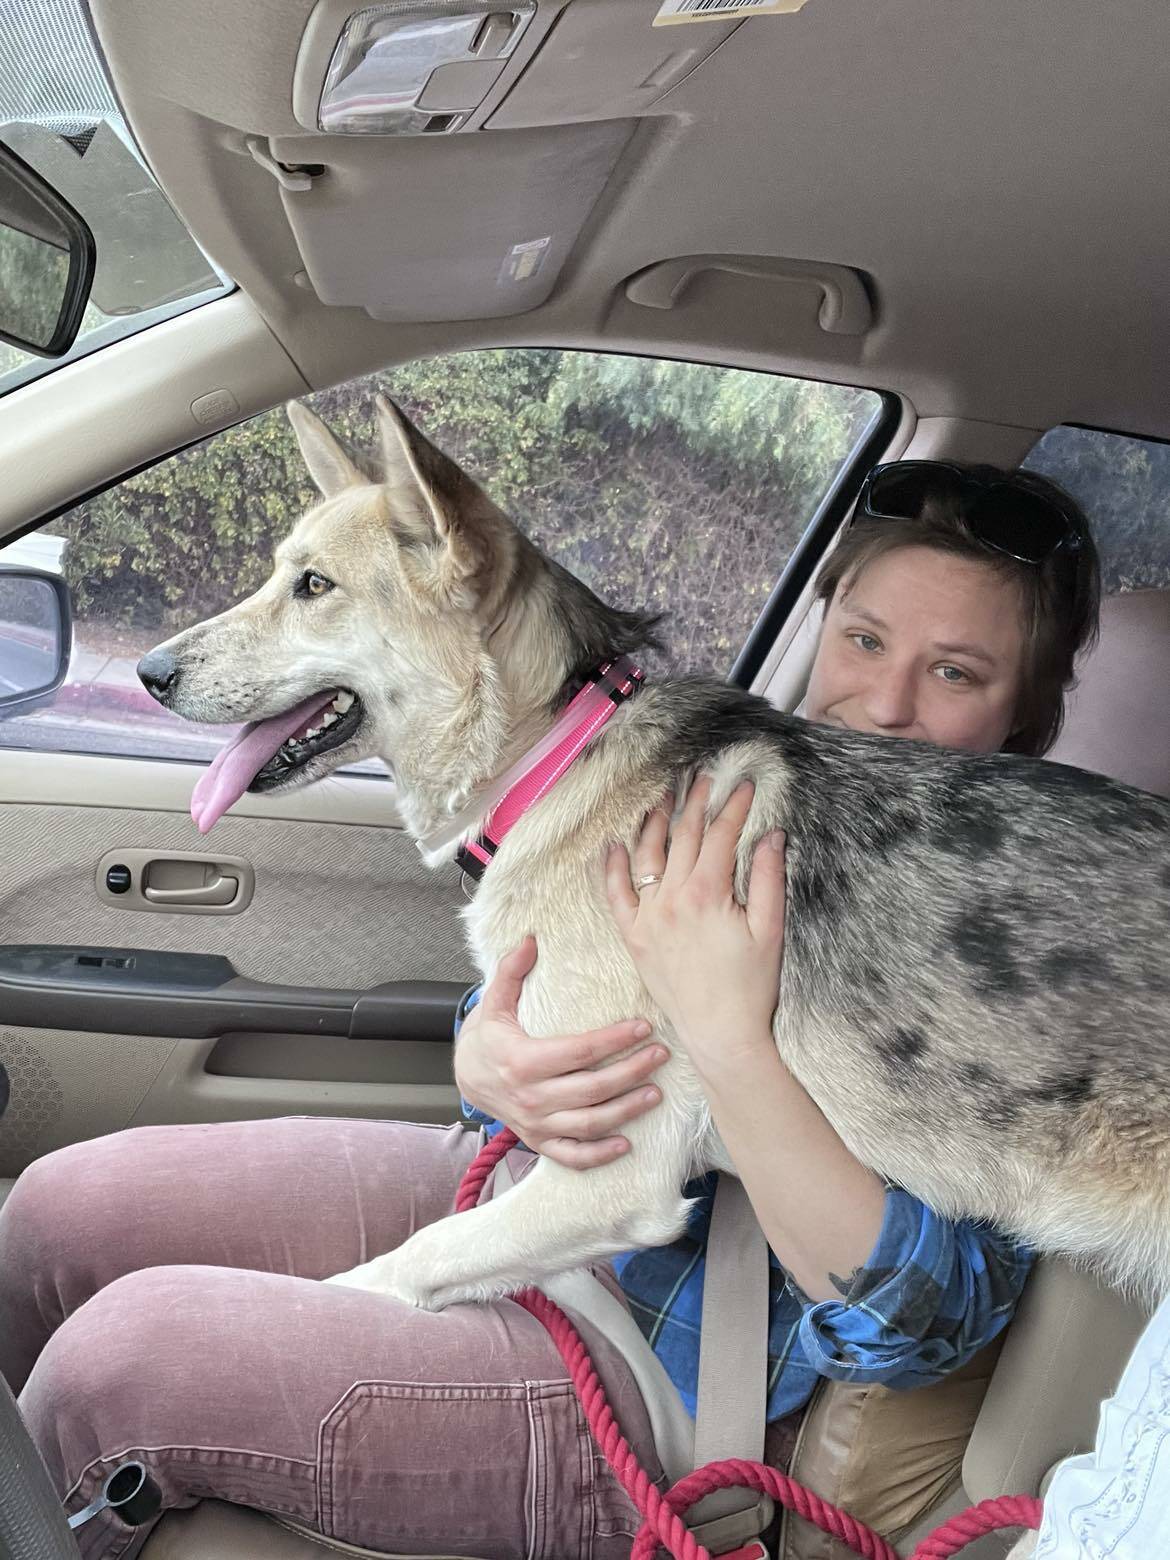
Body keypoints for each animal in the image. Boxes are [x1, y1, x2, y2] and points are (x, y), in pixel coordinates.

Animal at [139, 396, 1170, 1310]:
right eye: (282, 574)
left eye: (314, 587)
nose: (150, 672)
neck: (561, 755)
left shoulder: (612, 1179)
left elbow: (410, 1258)